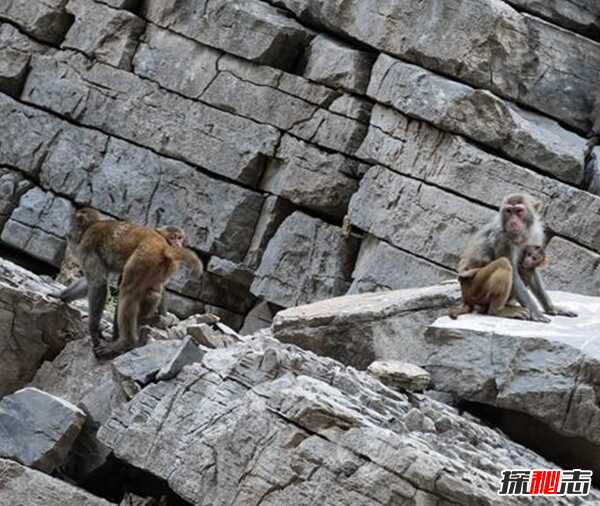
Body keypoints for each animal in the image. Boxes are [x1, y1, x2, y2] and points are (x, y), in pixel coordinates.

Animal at [59, 208, 203, 358]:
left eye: (72, 224)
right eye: (175, 237)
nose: (68, 233)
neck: (91, 226)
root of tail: (164, 247)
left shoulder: (87, 246)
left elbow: (98, 284)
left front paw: (94, 331)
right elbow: (93, 282)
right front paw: (62, 296)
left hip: (145, 257)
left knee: (128, 292)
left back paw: (125, 342)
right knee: (150, 292)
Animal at [454, 194, 576, 324]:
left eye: (519, 211)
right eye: (509, 211)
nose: (512, 222)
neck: (522, 234)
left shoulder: (536, 234)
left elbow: (531, 270)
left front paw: (552, 308)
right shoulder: (502, 239)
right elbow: (514, 274)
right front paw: (536, 313)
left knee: (525, 271)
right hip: (473, 288)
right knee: (504, 263)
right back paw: (498, 311)